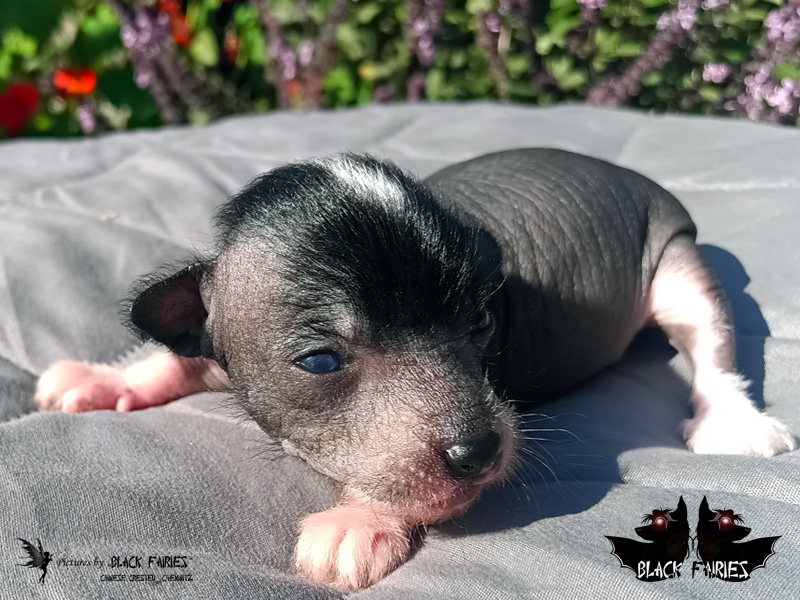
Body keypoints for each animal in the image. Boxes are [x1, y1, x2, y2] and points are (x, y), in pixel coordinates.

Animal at [35, 149, 795, 590]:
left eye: (482, 323)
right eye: (320, 360)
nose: (479, 451)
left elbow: (409, 482)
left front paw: (358, 519)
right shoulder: (215, 349)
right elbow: (172, 356)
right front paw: (105, 379)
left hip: (676, 258)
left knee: (712, 344)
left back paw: (732, 418)